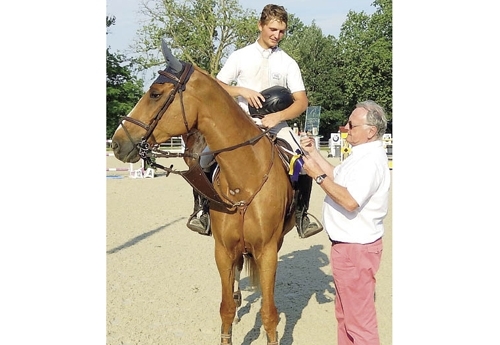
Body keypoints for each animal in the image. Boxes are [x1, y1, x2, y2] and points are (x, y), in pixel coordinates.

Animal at [110, 40, 296, 344]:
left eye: (155, 94)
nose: (116, 142)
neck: (244, 179)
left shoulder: (268, 251)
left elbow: (269, 313)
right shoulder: (222, 250)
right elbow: (226, 308)